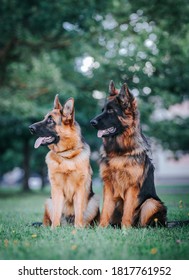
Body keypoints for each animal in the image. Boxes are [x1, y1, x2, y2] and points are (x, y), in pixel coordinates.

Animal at [29, 95, 99, 229]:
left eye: (50, 121)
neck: (66, 155)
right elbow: (57, 212)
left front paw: (78, 229)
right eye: (44, 118)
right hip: (48, 201)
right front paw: (54, 229)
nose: (30, 128)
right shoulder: (56, 190)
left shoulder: (80, 189)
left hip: (94, 203)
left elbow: (79, 211)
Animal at [90, 80, 167, 228]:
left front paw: (125, 229)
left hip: (151, 203)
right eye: (102, 110)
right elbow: (105, 209)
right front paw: (101, 228)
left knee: (144, 222)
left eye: (110, 110)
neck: (119, 151)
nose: (92, 122)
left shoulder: (132, 186)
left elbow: (127, 210)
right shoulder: (108, 185)